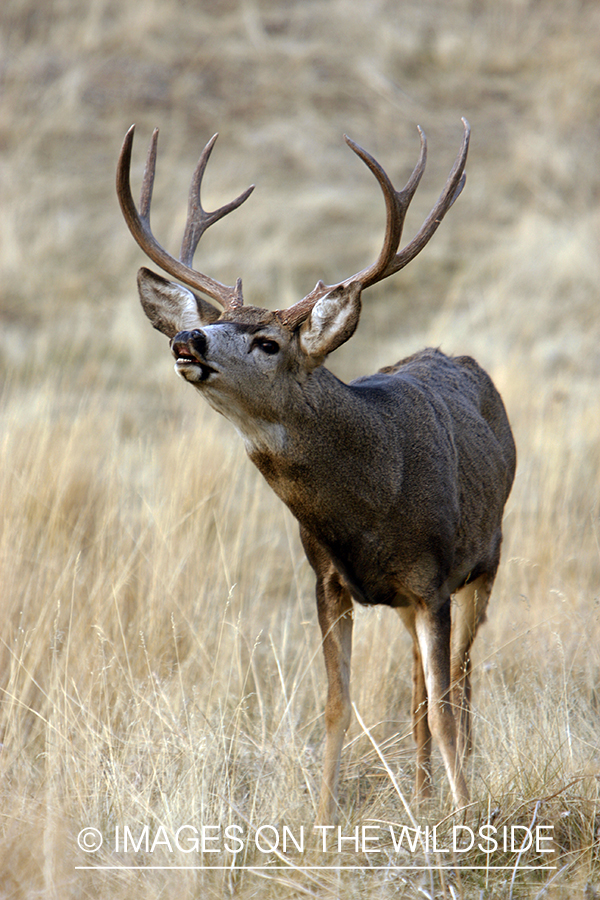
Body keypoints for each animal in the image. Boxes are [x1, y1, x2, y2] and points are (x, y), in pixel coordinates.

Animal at [117, 118, 516, 824]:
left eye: (268, 342)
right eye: (217, 321)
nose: (187, 340)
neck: (371, 505)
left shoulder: (435, 578)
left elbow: (445, 709)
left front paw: (465, 818)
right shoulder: (326, 579)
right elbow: (335, 706)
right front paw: (324, 820)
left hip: (486, 560)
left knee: (461, 685)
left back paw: (448, 787)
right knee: (420, 694)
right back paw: (420, 793)